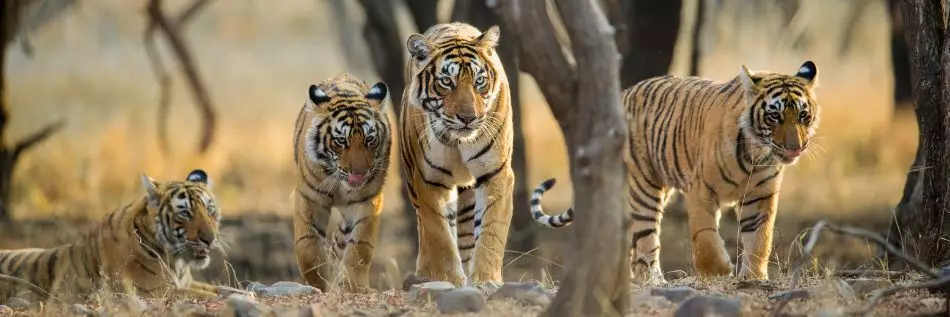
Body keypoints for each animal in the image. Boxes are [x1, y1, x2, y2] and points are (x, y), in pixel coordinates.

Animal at [0, 169, 230, 302]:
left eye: (210, 210)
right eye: (185, 213)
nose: (210, 239)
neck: (177, 262)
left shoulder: (186, 283)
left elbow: (224, 288)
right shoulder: (153, 291)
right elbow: (207, 295)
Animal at [292, 71, 392, 292]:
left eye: (369, 139)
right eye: (341, 141)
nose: (360, 173)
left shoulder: (368, 200)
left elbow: (359, 246)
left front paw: (353, 286)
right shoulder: (309, 197)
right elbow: (308, 246)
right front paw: (319, 284)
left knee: (341, 241)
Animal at [404, 21, 520, 286]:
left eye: (479, 81)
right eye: (447, 81)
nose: (468, 118)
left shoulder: (496, 173)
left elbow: (490, 231)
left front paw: (485, 280)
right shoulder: (429, 180)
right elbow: (440, 237)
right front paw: (448, 279)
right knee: (424, 229)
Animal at [532, 60, 820, 282]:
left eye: (803, 115)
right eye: (775, 116)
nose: (795, 147)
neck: (756, 154)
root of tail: (623, 93)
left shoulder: (760, 196)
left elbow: (760, 238)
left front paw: (754, 277)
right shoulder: (701, 189)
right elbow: (705, 236)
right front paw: (718, 271)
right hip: (644, 187)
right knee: (646, 239)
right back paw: (653, 281)